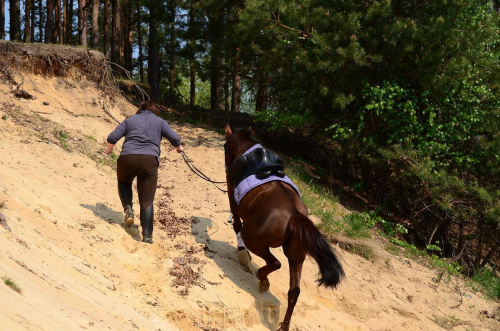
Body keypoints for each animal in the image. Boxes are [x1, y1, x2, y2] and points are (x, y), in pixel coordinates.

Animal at [224, 124, 344, 331]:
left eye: (225, 148)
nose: (225, 166)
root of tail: (294, 215)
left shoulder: (233, 197)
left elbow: (237, 224)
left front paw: (242, 253)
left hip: (254, 239)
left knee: (275, 263)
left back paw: (262, 278)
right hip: (297, 257)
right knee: (294, 291)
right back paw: (284, 324)